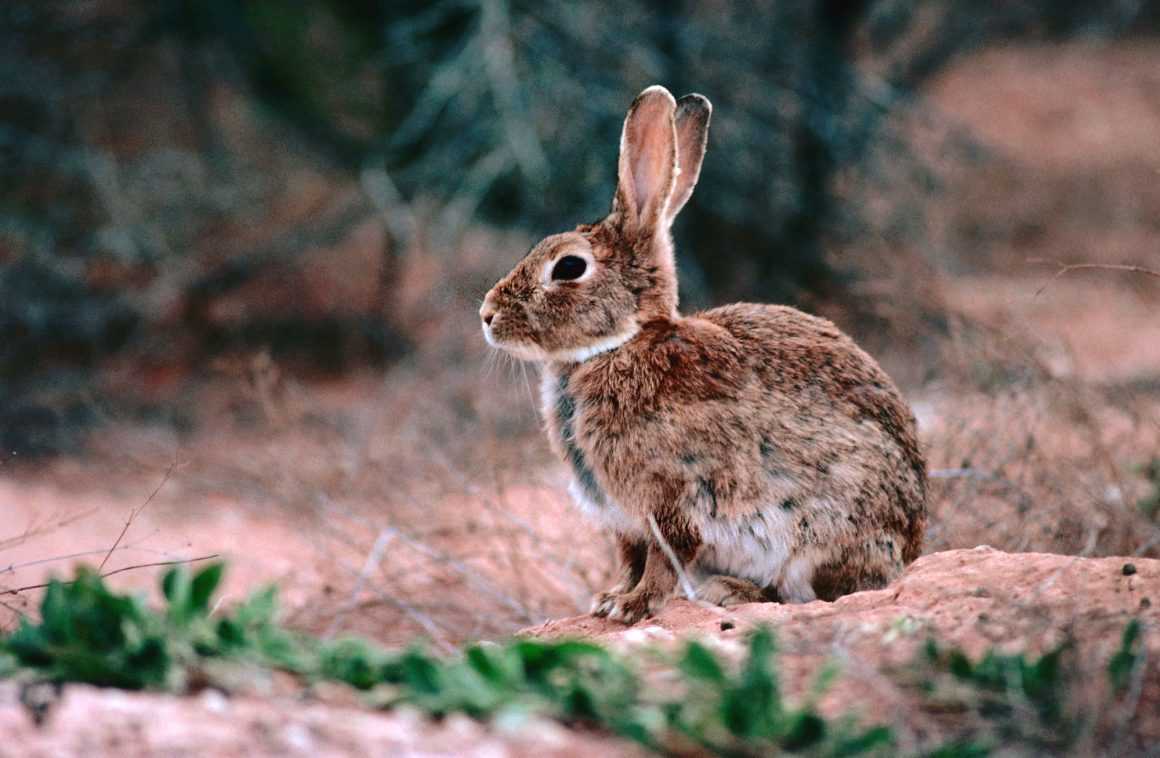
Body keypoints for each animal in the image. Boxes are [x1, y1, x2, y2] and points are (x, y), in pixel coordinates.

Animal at [477, 85, 923, 622]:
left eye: (568, 267)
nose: (486, 315)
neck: (620, 344)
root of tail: (910, 549)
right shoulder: (625, 520)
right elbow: (631, 558)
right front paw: (608, 599)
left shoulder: (673, 499)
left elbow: (665, 558)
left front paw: (632, 607)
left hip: (819, 535)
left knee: (812, 592)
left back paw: (731, 591)